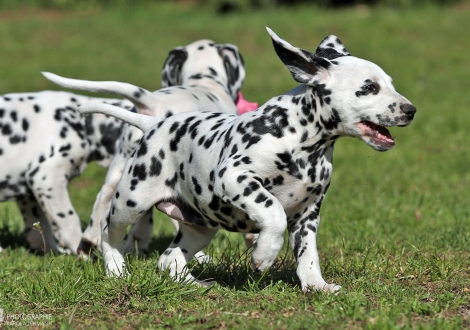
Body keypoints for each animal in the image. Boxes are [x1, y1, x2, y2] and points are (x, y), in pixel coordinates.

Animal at [76, 27, 414, 292]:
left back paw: (195, 285)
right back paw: (116, 270)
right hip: (130, 202)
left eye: (390, 83)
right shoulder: (235, 177)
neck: (305, 142)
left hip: (200, 226)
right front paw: (264, 255)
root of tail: (154, 122)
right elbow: (273, 213)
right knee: (108, 234)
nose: (411, 110)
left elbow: (308, 254)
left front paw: (316, 286)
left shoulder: (308, 213)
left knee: (168, 259)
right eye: (369, 87)